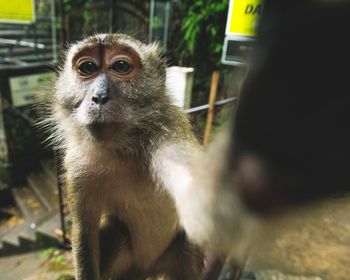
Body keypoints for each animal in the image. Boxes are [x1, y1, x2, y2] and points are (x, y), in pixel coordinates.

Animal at [49, 34, 204, 278]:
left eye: (121, 66)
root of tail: (147, 268)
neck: (123, 150)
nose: (99, 97)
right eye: (87, 68)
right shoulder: (78, 164)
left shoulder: (169, 135)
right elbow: (85, 232)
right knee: (117, 231)